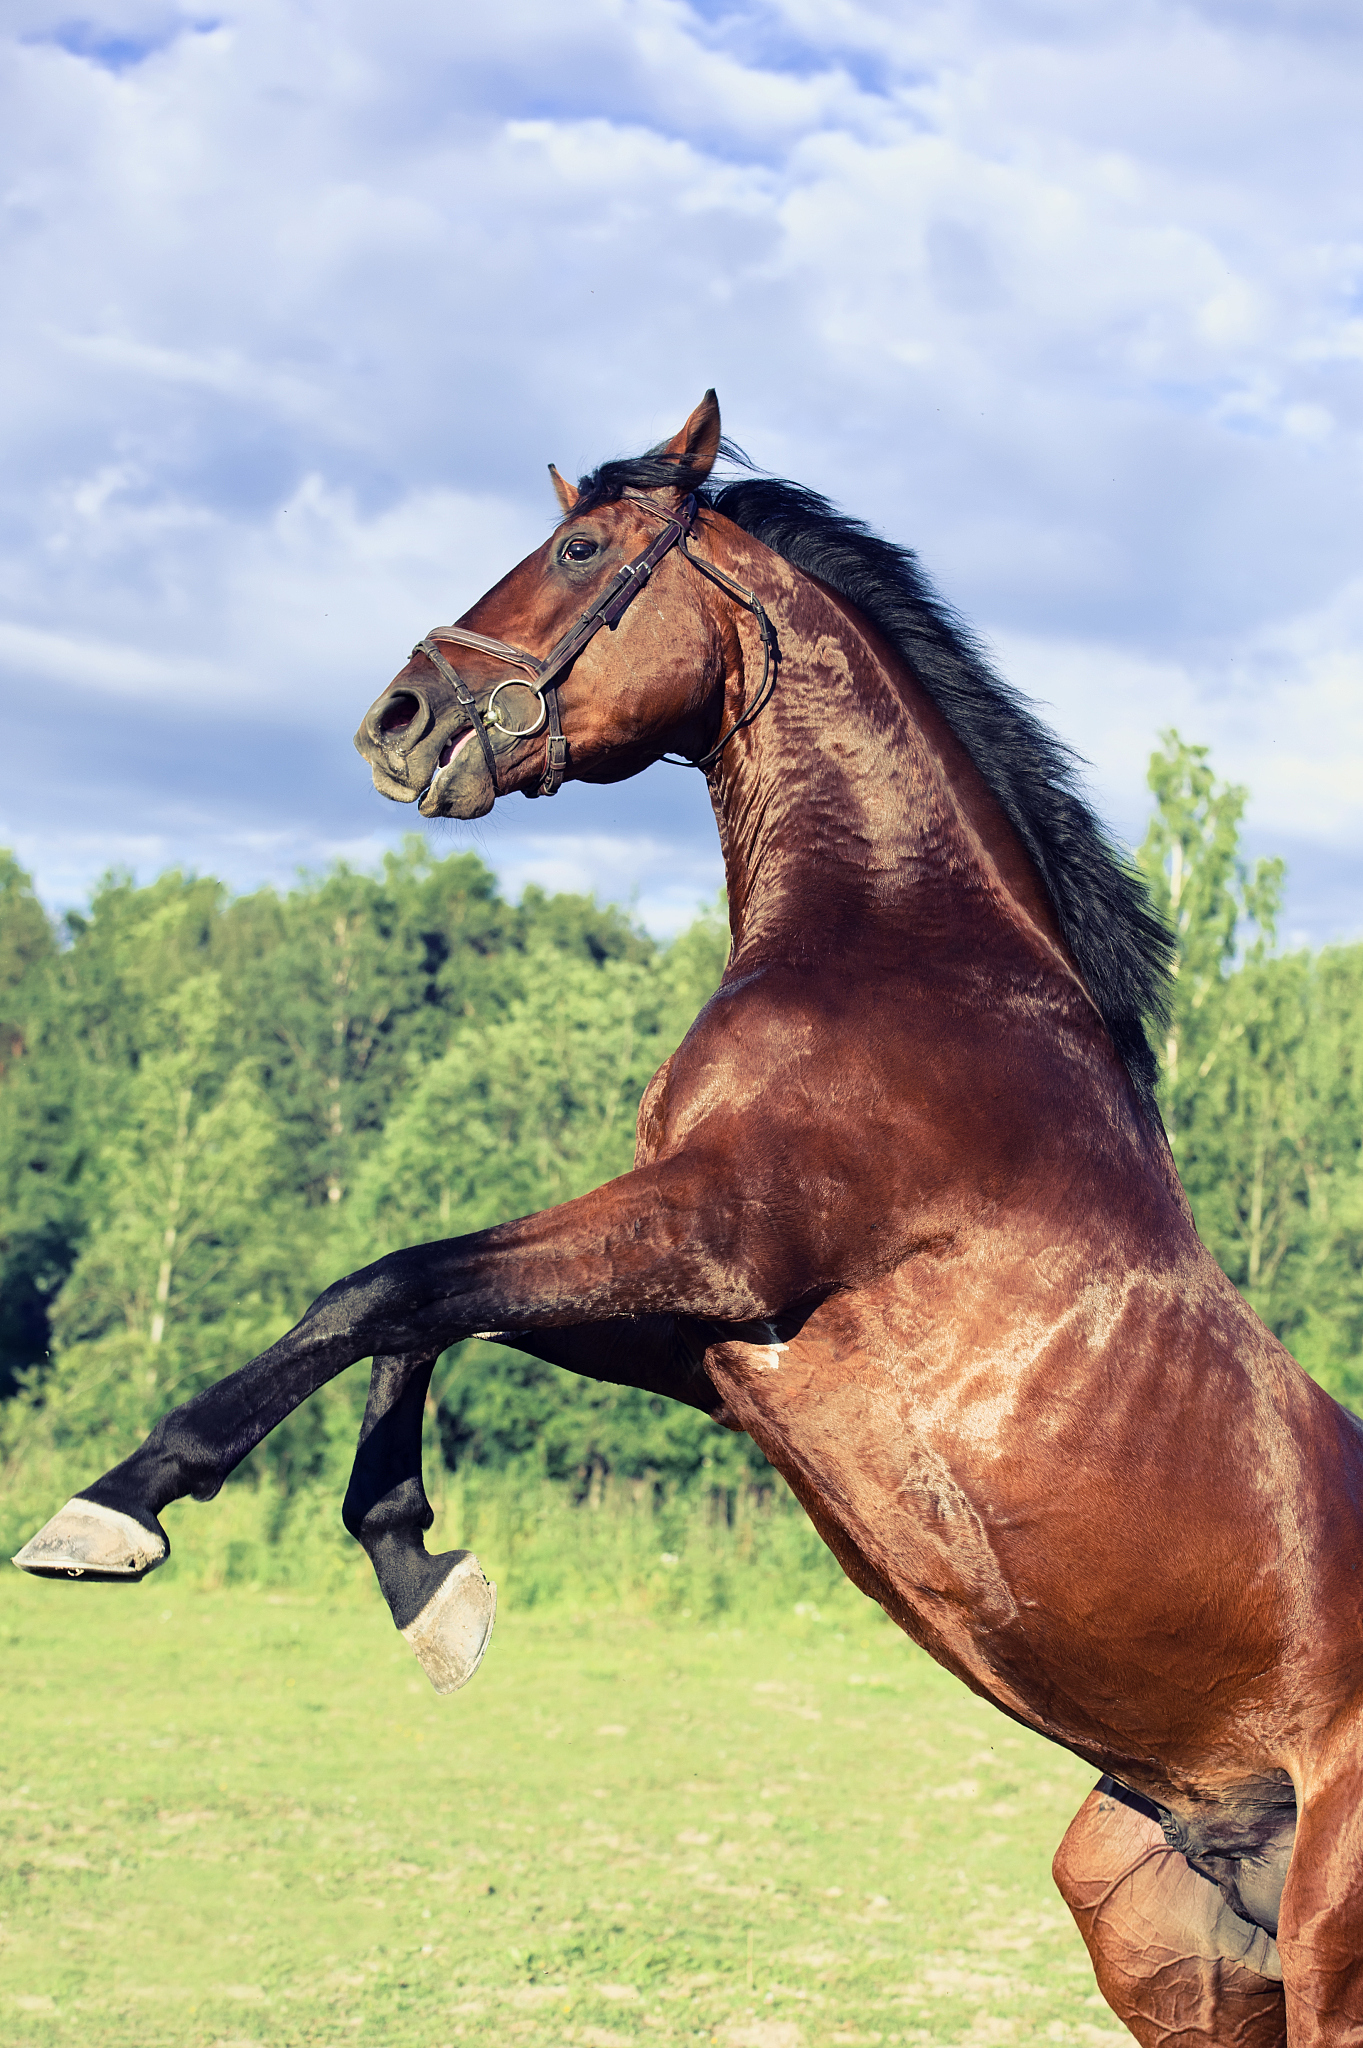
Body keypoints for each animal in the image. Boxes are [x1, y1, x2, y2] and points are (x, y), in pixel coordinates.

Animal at [16, 392, 1363, 2046]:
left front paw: (116, 1509)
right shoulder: (707, 1341)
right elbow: (423, 1312)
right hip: (1164, 1940)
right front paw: (422, 1581)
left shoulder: (722, 1238)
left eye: (581, 550)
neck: (904, 959)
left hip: (1329, 1945)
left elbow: (381, 1284)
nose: (395, 721)